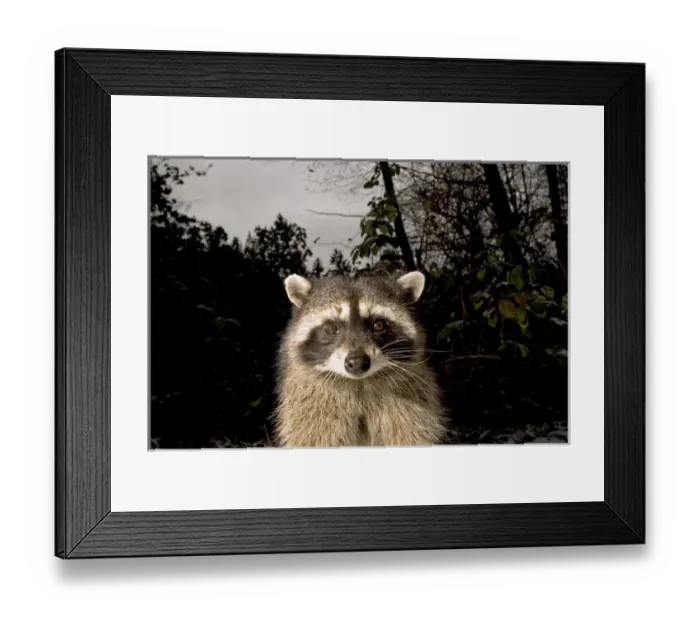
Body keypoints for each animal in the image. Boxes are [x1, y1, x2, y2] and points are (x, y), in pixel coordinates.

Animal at [272, 270, 448, 448]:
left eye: (379, 325)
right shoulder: (312, 408)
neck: (359, 383)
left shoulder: (411, 405)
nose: (356, 362)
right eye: (330, 328)